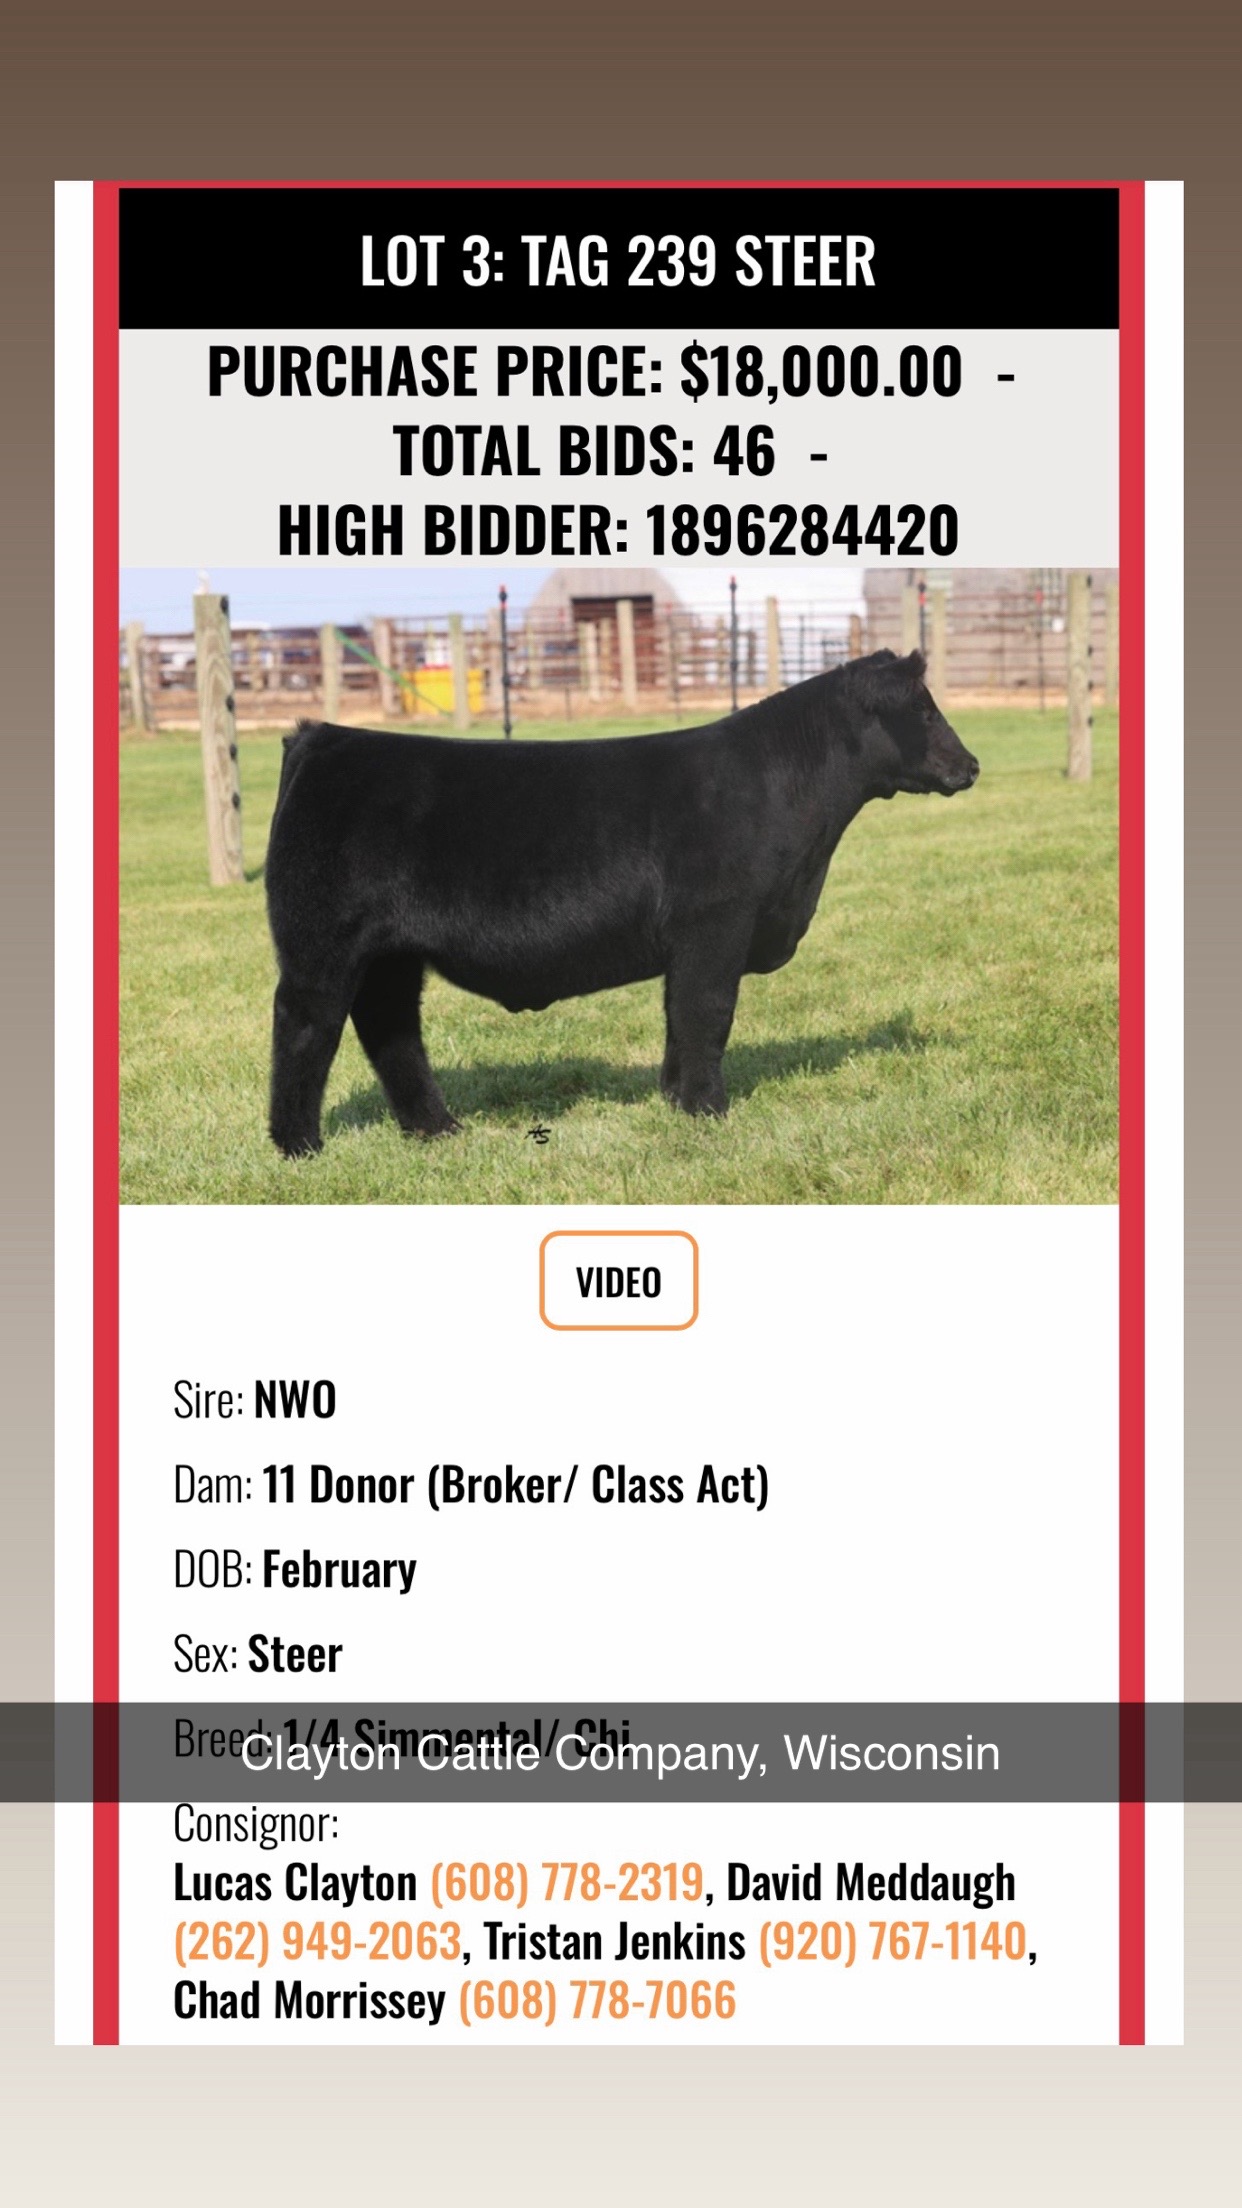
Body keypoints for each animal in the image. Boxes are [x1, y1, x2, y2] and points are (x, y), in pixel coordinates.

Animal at [264, 648, 979, 1156]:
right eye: (924, 711)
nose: (970, 766)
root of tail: (324, 737)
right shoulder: (716, 922)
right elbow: (706, 1012)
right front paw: (708, 1110)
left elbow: (677, 1016)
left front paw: (674, 1099)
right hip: (320, 945)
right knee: (305, 1025)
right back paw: (298, 1145)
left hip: (389, 953)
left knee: (390, 1029)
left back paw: (437, 1129)